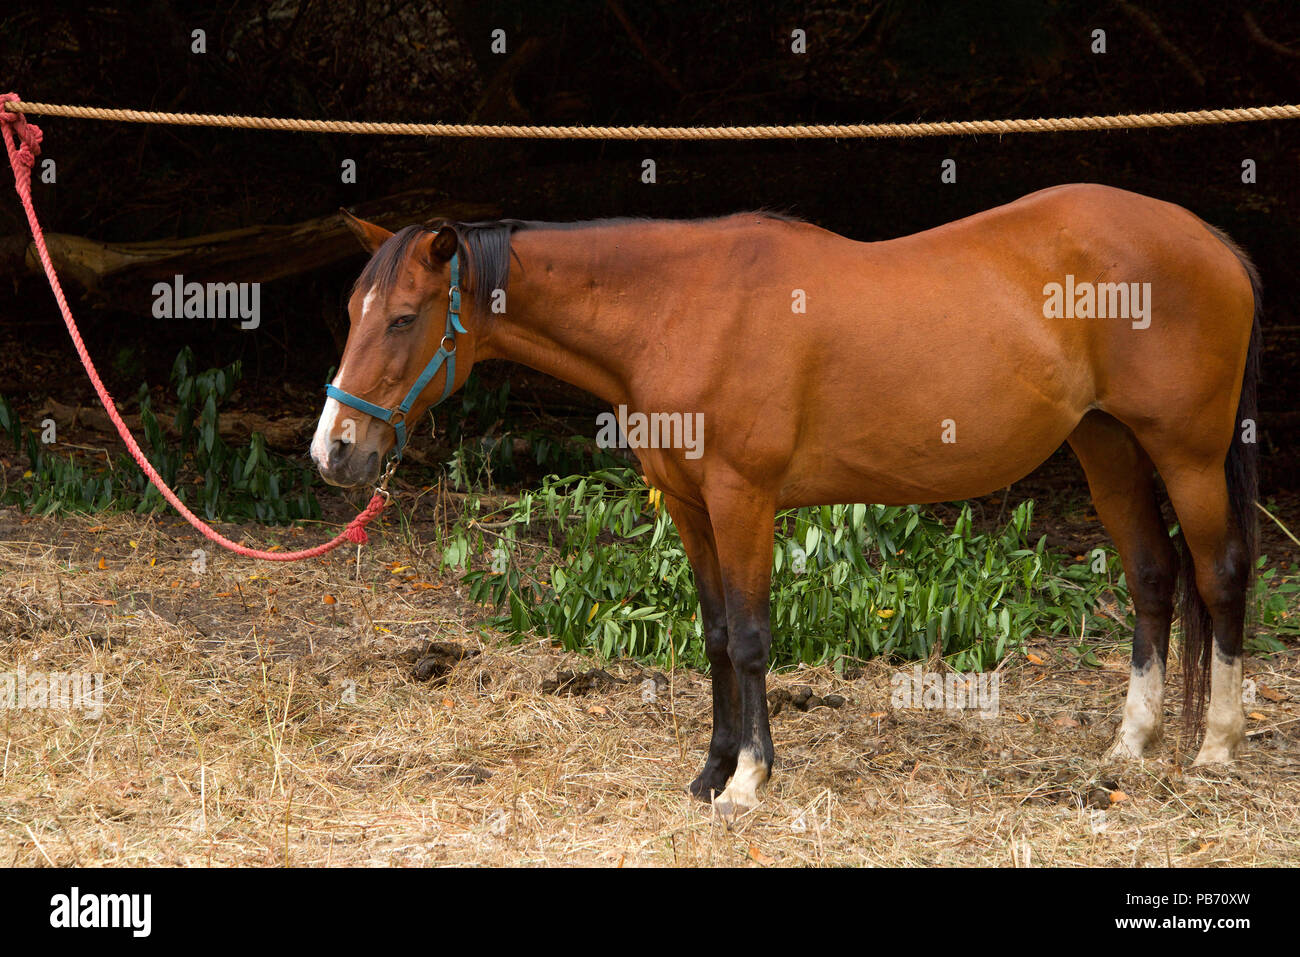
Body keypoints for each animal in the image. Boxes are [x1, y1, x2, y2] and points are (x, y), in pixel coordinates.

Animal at [312, 187, 1258, 816]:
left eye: (403, 317)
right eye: (351, 310)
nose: (334, 451)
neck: (679, 308)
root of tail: (1212, 240)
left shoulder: (743, 498)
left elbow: (753, 637)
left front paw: (749, 779)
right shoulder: (688, 503)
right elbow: (715, 636)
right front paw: (710, 770)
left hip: (1187, 453)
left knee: (1217, 575)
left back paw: (1216, 747)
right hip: (1108, 445)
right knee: (1152, 576)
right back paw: (1131, 745)